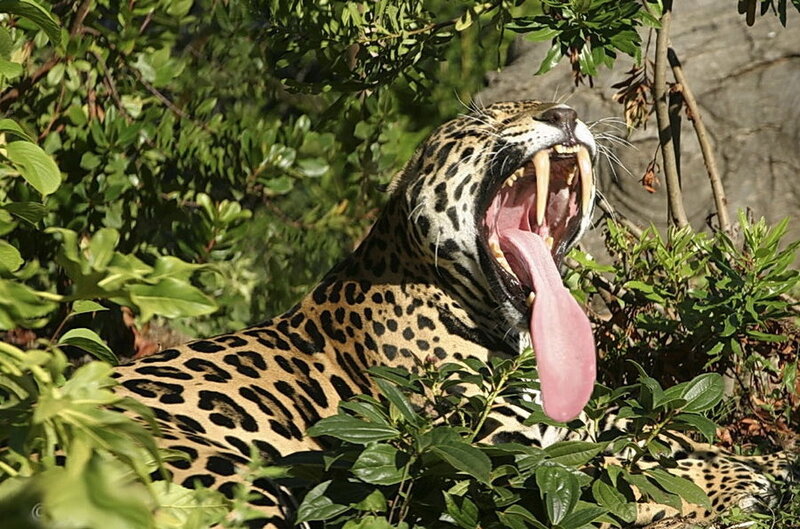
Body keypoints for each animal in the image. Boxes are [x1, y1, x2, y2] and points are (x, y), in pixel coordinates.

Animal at [114, 100, 793, 528]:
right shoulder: (507, 459)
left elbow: (657, 438)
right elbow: (624, 473)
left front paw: (761, 465)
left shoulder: (578, 424)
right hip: (236, 478)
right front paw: (724, 494)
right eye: (484, 121)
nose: (565, 115)